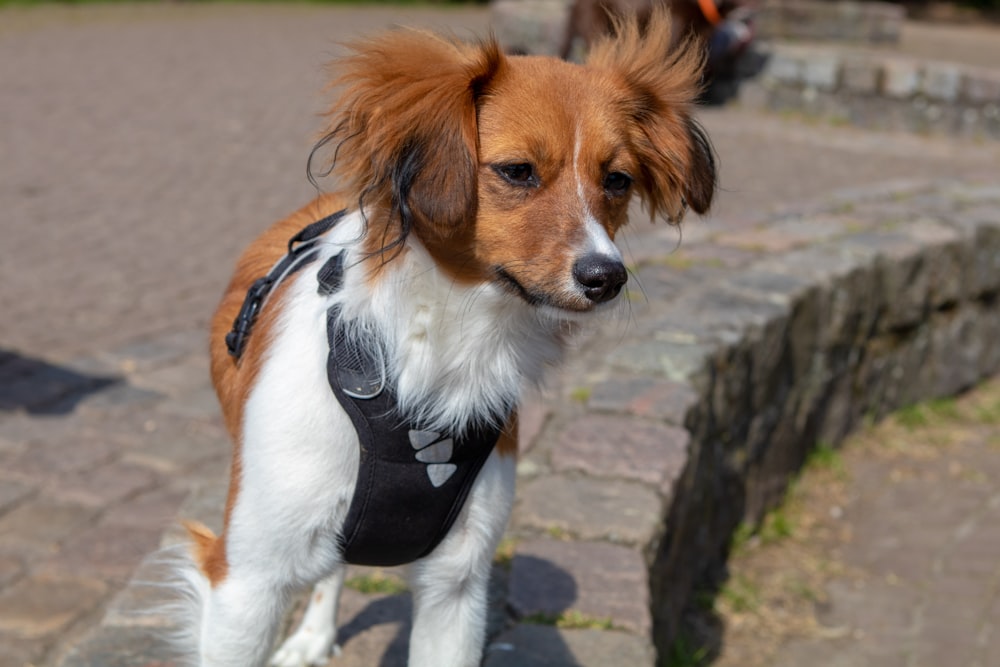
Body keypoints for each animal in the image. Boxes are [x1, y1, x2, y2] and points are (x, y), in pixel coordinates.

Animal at [176, 9, 716, 667]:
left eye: (616, 180)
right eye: (517, 172)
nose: (606, 277)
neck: (443, 348)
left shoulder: (456, 586)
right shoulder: (246, 583)